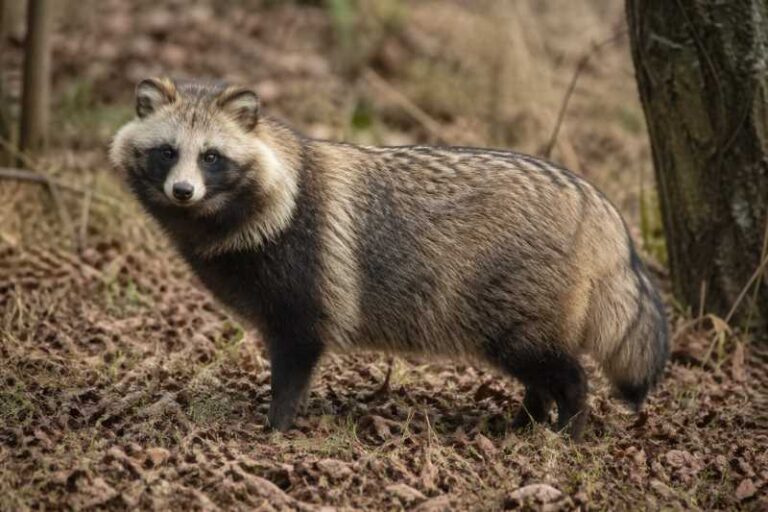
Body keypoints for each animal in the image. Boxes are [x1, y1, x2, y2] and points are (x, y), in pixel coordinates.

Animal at [110, 78, 669, 440]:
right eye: (167, 152)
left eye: (210, 157)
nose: (183, 191)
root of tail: (591, 201)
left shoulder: (304, 294)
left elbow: (293, 369)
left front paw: (275, 429)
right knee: (538, 373)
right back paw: (527, 419)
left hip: (518, 309)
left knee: (565, 373)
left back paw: (569, 426)